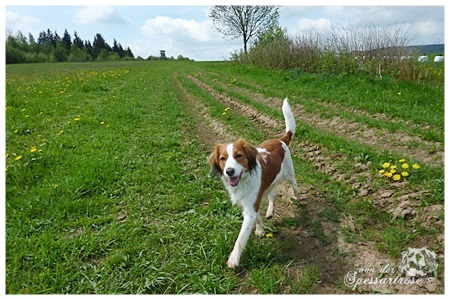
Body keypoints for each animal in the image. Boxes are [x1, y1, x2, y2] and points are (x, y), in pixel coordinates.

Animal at [207, 98, 298, 268]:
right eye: (223, 158)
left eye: (238, 155)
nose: (229, 171)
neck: (244, 180)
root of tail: (280, 140)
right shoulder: (251, 203)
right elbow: (257, 217)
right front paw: (261, 230)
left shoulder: (250, 207)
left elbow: (241, 239)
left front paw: (234, 259)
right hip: (269, 184)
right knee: (272, 195)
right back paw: (270, 211)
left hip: (289, 174)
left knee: (295, 184)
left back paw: (297, 197)